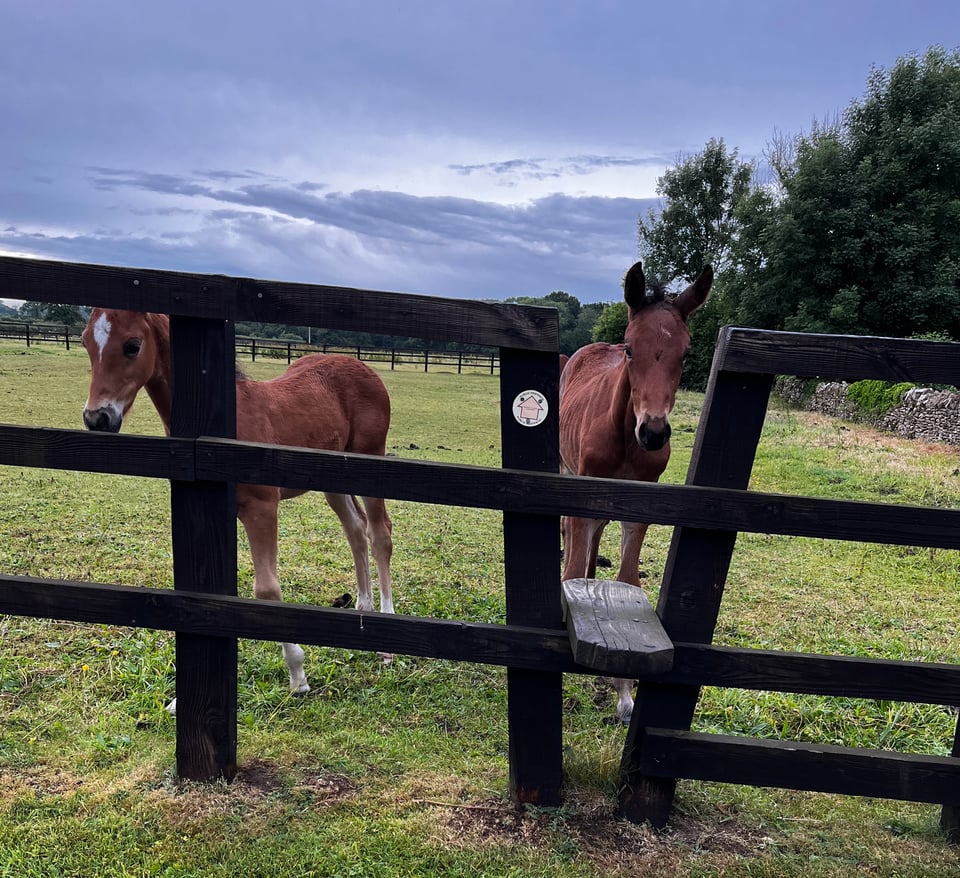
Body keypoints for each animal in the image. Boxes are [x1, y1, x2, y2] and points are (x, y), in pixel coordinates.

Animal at [81, 310, 394, 714]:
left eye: (132, 345)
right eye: (86, 342)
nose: (97, 418)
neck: (223, 433)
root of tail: (363, 366)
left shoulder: (262, 508)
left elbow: (267, 590)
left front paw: (298, 676)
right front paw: (182, 699)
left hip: (371, 463)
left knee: (380, 532)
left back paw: (386, 639)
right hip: (333, 477)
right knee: (356, 529)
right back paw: (363, 610)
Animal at [558, 260, 712, 723]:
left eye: (686, 353)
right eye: (630, 348)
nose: (654, 432)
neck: (625, 439)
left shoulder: (641, 505)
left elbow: (627, 579)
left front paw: (625, 692)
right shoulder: (583, 490)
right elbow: (573, 562)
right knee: (571, 535)